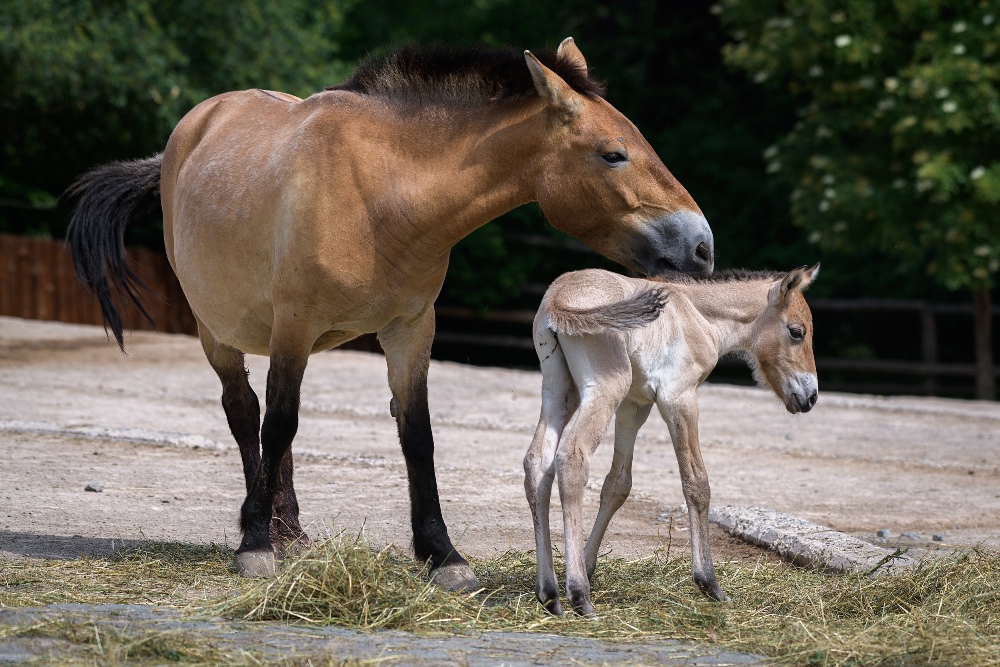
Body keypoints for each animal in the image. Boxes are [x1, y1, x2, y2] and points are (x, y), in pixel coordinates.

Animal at [68, 37, 712, 588]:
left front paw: (443, 555)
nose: (701, 246)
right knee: (246, 413)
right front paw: (253, 546)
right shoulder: (294, 326)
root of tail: (193, 128)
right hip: (217, 331)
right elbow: (278, 423)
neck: (381, 194)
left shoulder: (410, 331)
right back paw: (263, 528)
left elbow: (415, 436)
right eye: (612, 154)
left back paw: (288, 530)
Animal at [528, 264, 816, 616]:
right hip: (605, 388)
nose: (811, 397)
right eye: (797, 332)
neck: (697, 313)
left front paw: (587, 563)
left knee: (538, 463)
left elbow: (617, 484)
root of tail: (559, 295)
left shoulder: (635, 404)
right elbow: (696, 483)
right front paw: (709, 583)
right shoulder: (679, 397)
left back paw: (550, 594)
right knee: (572, 457)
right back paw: (580, 597)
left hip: (559, 390)